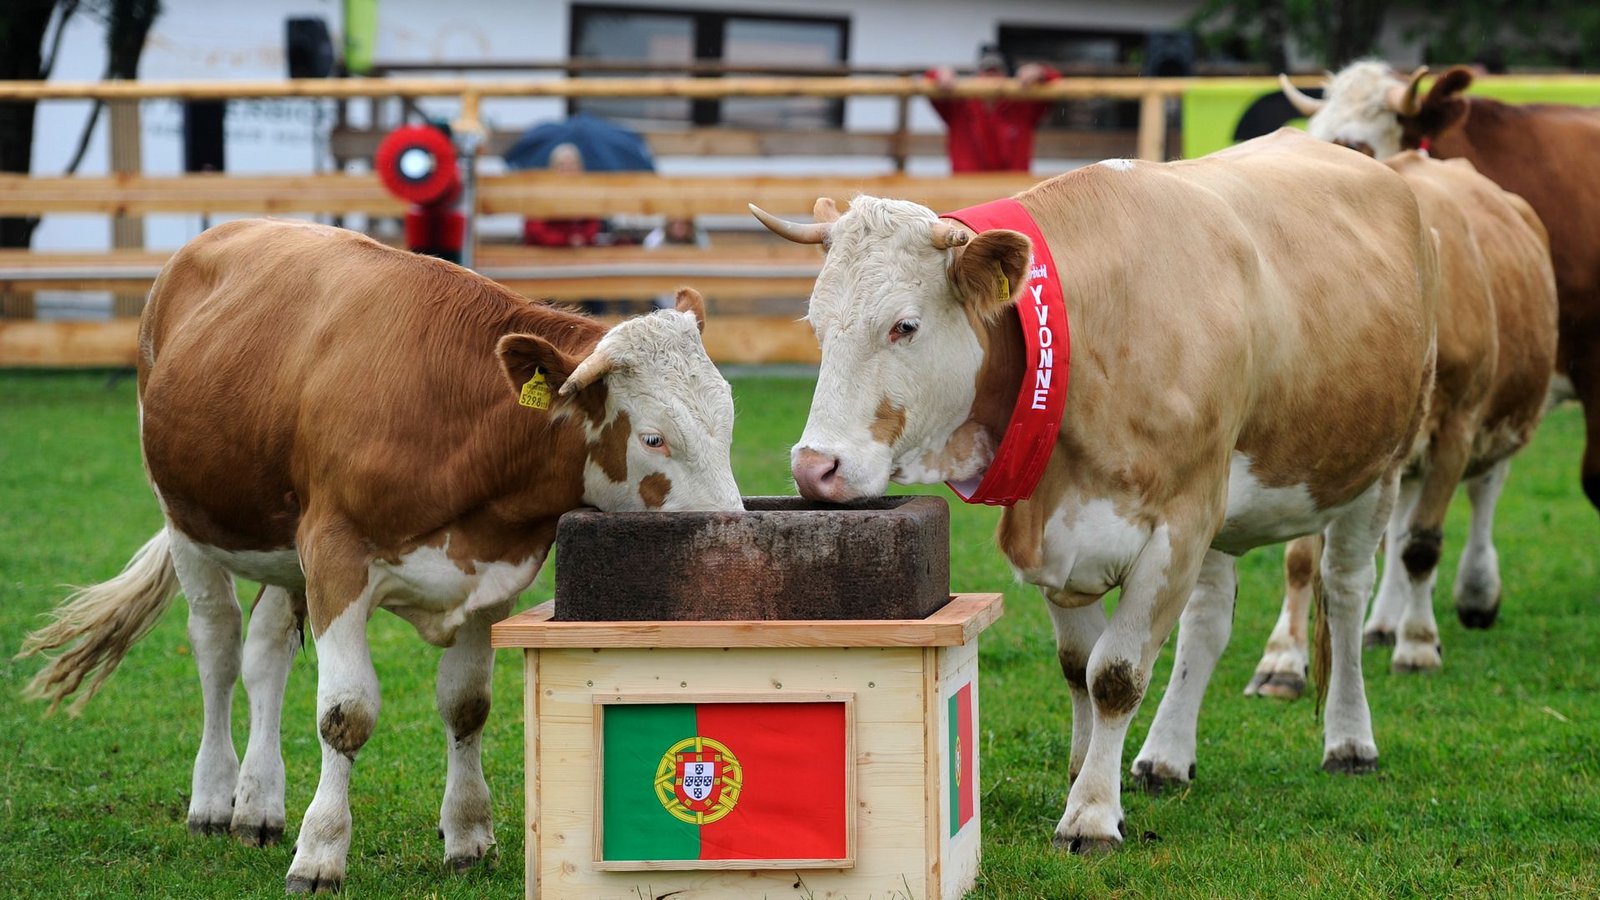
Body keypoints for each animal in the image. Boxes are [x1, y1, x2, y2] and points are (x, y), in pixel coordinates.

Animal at [19, 219, 742, 893]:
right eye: (653, 437)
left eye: (728, 422)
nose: (731, 537)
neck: (455, 418)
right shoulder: (334, 556)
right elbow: (346, 713)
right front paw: (320, 854)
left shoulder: (491, 576)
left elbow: (467, 704)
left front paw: (467, 836)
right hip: (188, 520)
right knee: (217, 648)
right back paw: (213, 798)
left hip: (283, 550)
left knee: (264, 654)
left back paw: (257, 804)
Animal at [751, 127, 1438, 850]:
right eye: (815, 325)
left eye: (904, 325)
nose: (814, 467)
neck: (1090, 337)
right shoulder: (1062, 538)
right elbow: (1078, 663)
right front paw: (1085, 774)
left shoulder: (1177, 525)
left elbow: (1115, 675)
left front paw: (1092, 814)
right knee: (1208, 620)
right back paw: (1166, 755)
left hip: (1375, 472)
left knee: (1345, 595)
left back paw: (1350, 741)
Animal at [1242, 64, 1561, 697]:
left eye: (1356, 145)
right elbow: (1302, 557)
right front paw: (1282, 660)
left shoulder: (1458, 425)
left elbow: (1423, 544)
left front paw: (1418, 646)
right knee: (1393, 524)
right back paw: (1382, 622)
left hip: (1502, 415)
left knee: (1481, 493)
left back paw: (1470, 597)